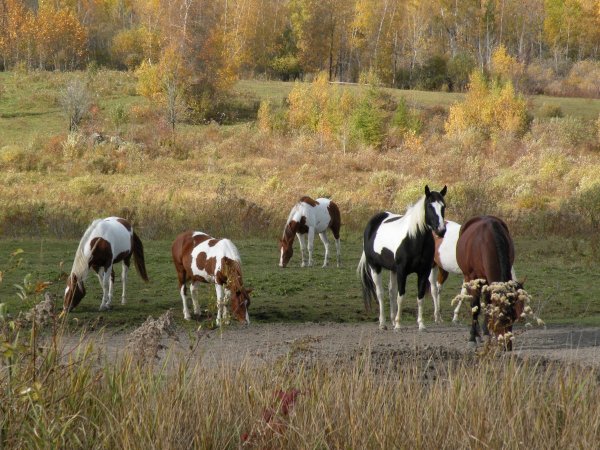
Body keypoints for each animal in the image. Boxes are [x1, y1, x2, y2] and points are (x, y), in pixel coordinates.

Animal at [356, 186, 446, 330]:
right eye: (429, 206)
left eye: (443, 206)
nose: (441, 230)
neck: (414, 239)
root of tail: (374, 220)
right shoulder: (402, 271)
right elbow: (401, 296)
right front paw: (398, 324)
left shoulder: (423, 271)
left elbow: (420, 297)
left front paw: (421, 324)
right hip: (375, 267)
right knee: (380, 293)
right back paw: (383, 323)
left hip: (393, 270)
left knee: (391, 292)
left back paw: (392, 320)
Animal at [458, 214, 524, 348]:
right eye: (499, 319)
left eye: (513, 318)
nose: (507, 346)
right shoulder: (473, 278)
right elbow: (475, 306)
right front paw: (472, 338)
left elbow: (488, 303)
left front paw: (488, 333)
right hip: (469, 277)